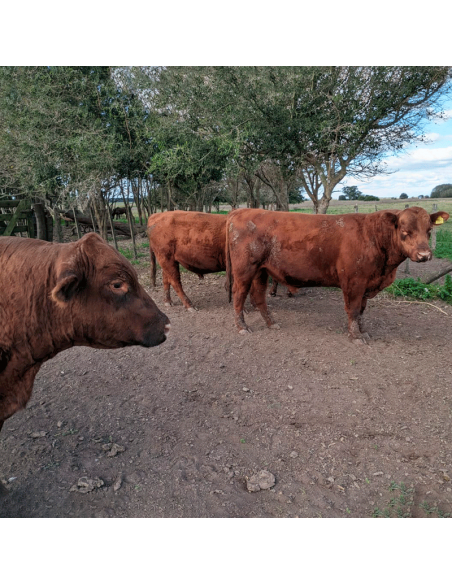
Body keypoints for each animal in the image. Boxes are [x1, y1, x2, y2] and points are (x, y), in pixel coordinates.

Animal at [226, 206, 448, 340]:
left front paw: (363, 331)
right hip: (245, 270)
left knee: (259, 297)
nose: (424, 255)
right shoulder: (354, 281)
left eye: (429, 230)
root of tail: (242, 211)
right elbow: (354, 309)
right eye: (404, 231)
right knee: (239, 295)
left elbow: (362, 311)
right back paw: (241, 327)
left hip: (261, 271)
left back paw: (271, 324)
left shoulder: (366, 283)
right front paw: (356, 336)